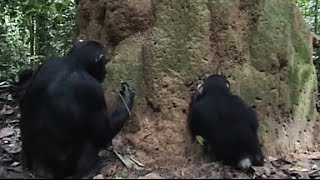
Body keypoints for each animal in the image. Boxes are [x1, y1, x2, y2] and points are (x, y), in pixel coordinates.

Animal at [19, 39, 135, 179]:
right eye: (105, 62)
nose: (105, 71)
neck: (74, 63)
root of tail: (40, 169)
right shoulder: (93, 90)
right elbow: (104, 132)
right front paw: (127, 96)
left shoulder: (47, 63)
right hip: (65, 167)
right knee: (90, 141)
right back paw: (90, 170)